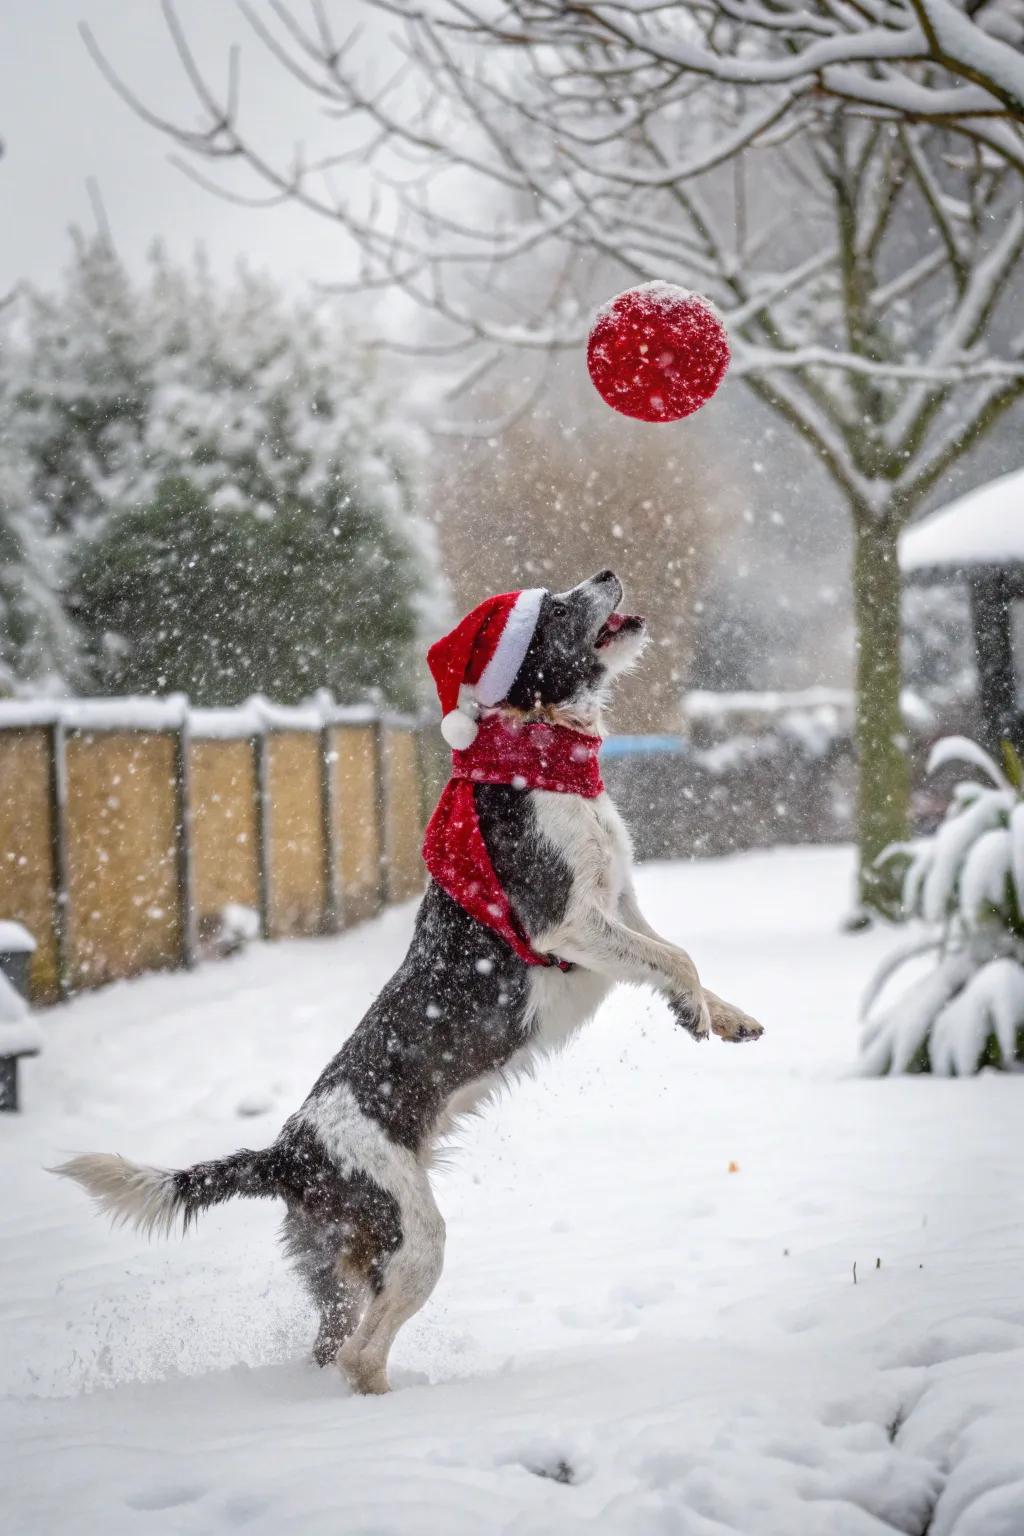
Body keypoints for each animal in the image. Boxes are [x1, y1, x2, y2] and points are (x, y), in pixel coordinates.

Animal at [56, 571, 761, 1400]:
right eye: (556, 607)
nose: (605, 576)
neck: (539, 750)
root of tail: (287, 1152)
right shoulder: (567, 923)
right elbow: (675, 959)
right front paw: (695, 1011)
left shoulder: (621, 902)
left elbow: (676, 954)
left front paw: (726, 1018)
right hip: (412, 1234)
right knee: (361, 1353)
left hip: (341, 1260)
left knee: (335, 1343)